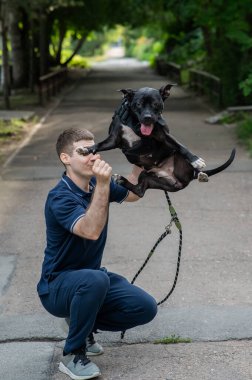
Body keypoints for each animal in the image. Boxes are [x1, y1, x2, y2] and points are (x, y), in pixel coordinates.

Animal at [78, 84, 235, 197]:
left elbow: (181, 146)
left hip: (176, 162)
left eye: (155, 104)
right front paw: (86, 149)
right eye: (139, 104)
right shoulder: (114, 139)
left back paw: (201, 173)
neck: (134, 122)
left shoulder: (162, 135)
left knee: (185, 161)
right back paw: (122, 180)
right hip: (148, 177)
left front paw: (196, 159)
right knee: (140, 191)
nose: (148, 118)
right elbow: (99, 145)